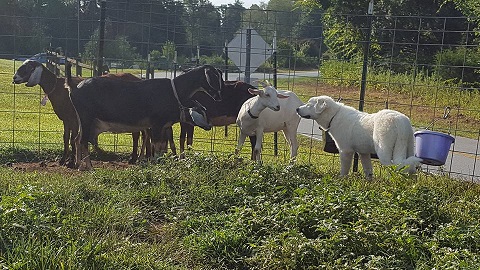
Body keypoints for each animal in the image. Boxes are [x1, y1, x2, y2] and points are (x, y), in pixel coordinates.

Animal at [294, 96, 422, 178]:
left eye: (309, 105)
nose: (297, 109)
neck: (334, 115)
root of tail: (400, 121)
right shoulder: (363, 153)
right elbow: (368, 170)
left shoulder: (345, 151)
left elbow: (344, 169)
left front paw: (342, 180)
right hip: (408, 146)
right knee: (410, 169)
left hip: (384, 151)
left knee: (393, 167)